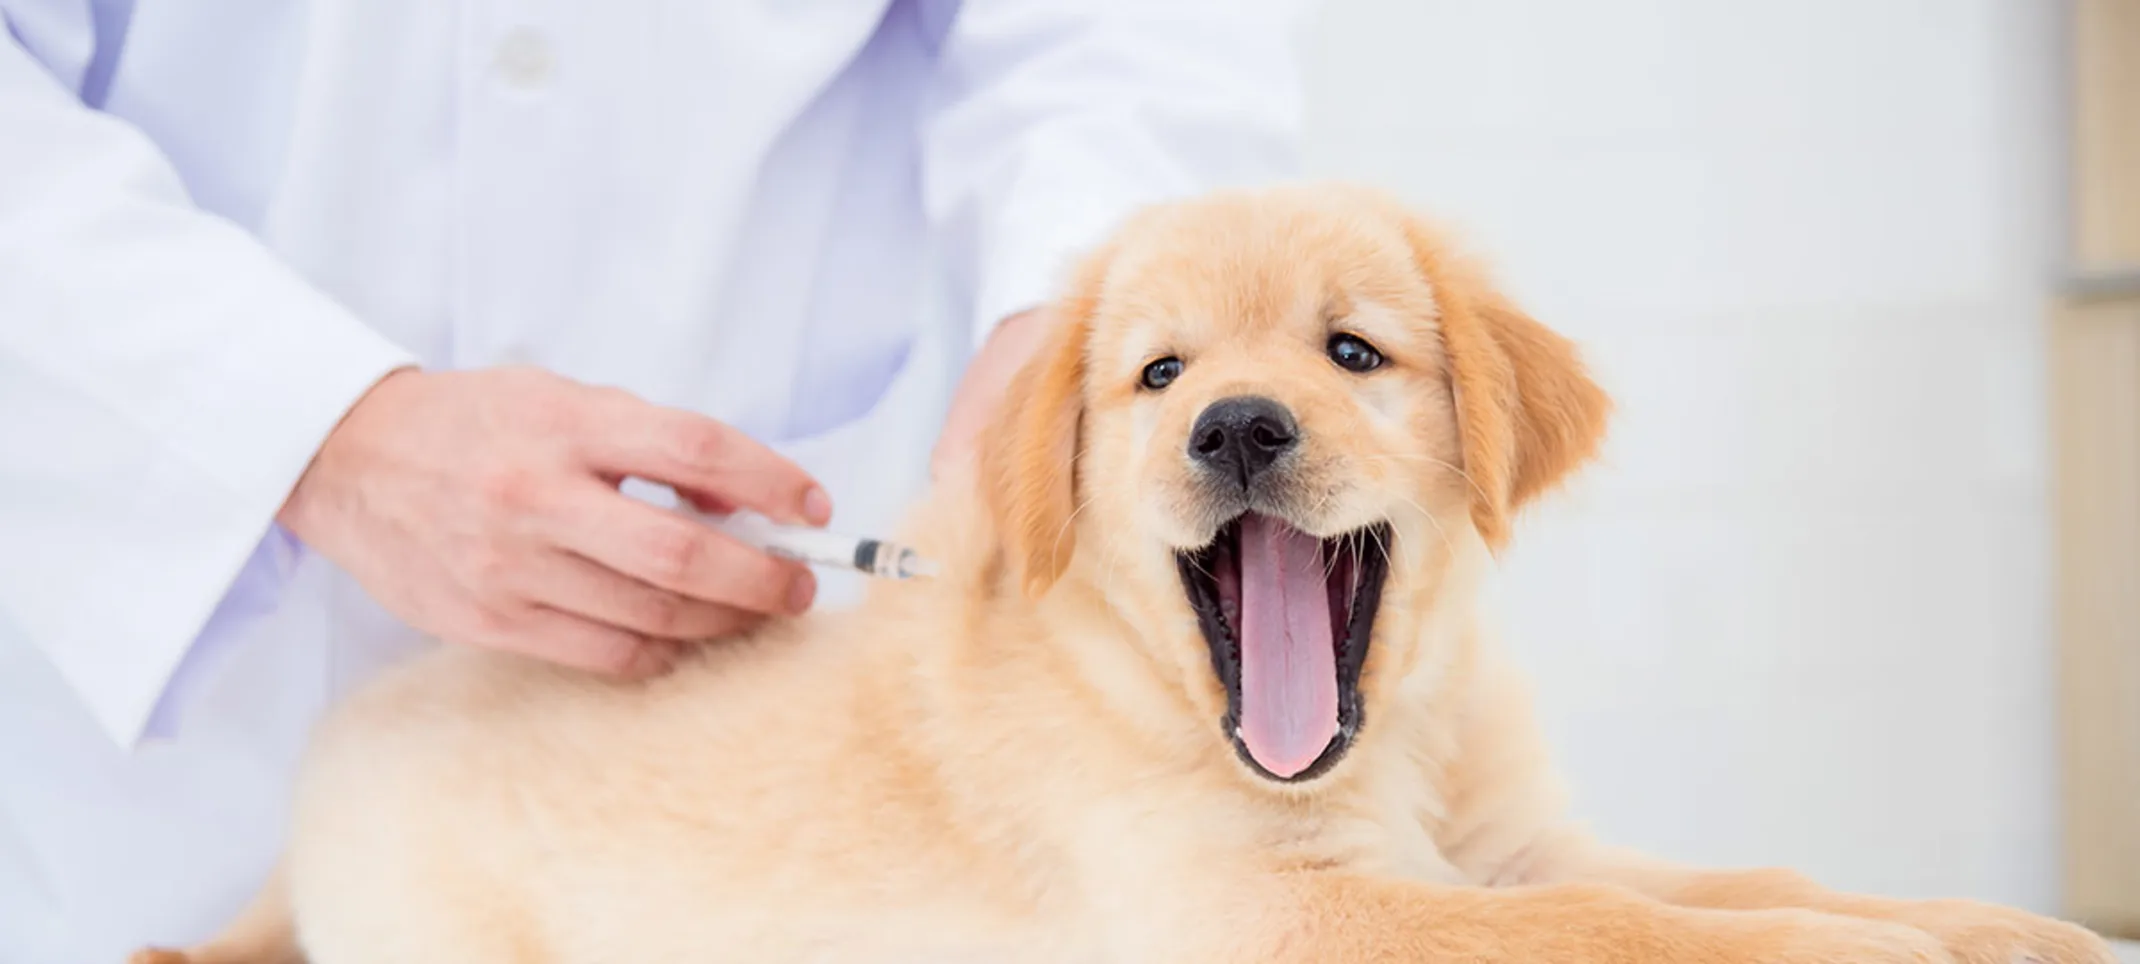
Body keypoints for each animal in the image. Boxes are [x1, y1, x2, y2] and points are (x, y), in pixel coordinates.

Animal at [138, 183, 2122, 964]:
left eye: (1351, 351)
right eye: (1159, 376)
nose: (1237, 427)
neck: (1390, 734)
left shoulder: (1509, 843)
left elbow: (1735, 873)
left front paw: (1987, 920)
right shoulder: (1285, 912)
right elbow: (1633, 929)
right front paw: (1859, 944)